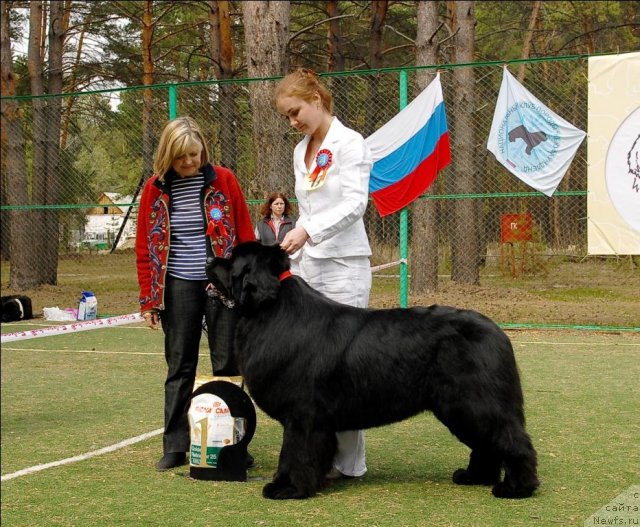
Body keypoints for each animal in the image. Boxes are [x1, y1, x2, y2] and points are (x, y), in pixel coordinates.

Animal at [208, 241, 536, 502]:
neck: (271, 310)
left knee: (510, 438)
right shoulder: (318, 420)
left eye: (231, 257)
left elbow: (294, 452)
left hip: (473, 402)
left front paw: (287, 488)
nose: (211, 259)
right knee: (487, 443)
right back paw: (475, 477)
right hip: (459, 407)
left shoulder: (302, 415)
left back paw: (517, 488)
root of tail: (498, 333)